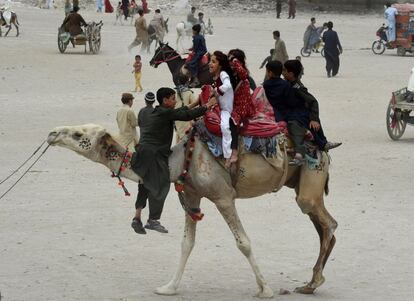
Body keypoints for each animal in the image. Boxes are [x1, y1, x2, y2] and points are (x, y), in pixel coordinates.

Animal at [46, 122, 336, 298]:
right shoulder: (192, 195)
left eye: (79, 135)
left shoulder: (223, 196)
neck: (177, 161)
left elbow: (243, 242)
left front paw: (265, 289)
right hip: (298, 184)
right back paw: (311, 283)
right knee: (323, 224)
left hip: (311, 178)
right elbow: (187, 243)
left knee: (327, 223)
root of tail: (322, 146)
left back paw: (313, 282)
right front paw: (168, 287)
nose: (52, 134)